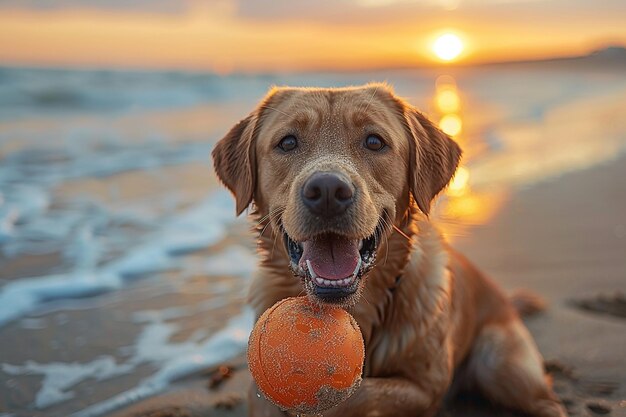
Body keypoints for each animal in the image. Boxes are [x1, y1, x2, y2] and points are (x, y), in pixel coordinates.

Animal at [211, 84, 564, 416]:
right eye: (287, 143)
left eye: (374, 141)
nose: (327, 190)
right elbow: (264, 396)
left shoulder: (427, 388)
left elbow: (359, 395)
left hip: (503, 364)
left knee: (547, 401)